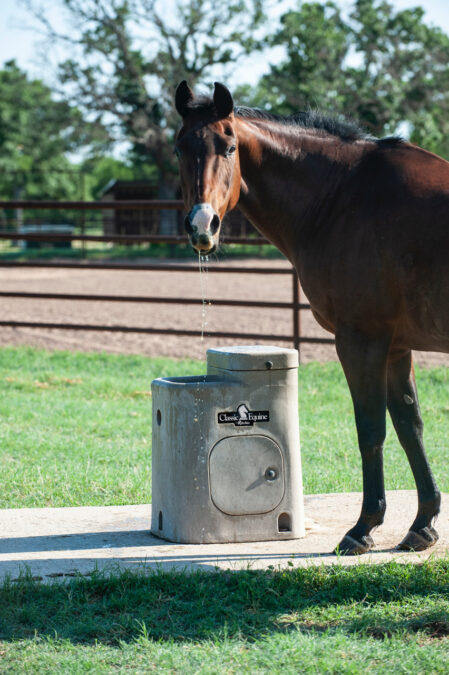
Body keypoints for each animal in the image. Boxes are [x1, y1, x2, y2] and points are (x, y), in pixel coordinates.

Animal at [173, 80, 442, 556]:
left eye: (228, 147)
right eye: (178, 149)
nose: (202, 225)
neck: (343, 197)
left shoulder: (362, 342)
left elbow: (371, 430)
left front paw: (363, 527)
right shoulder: (396, 347)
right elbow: (410, 426)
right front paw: (423, 523)